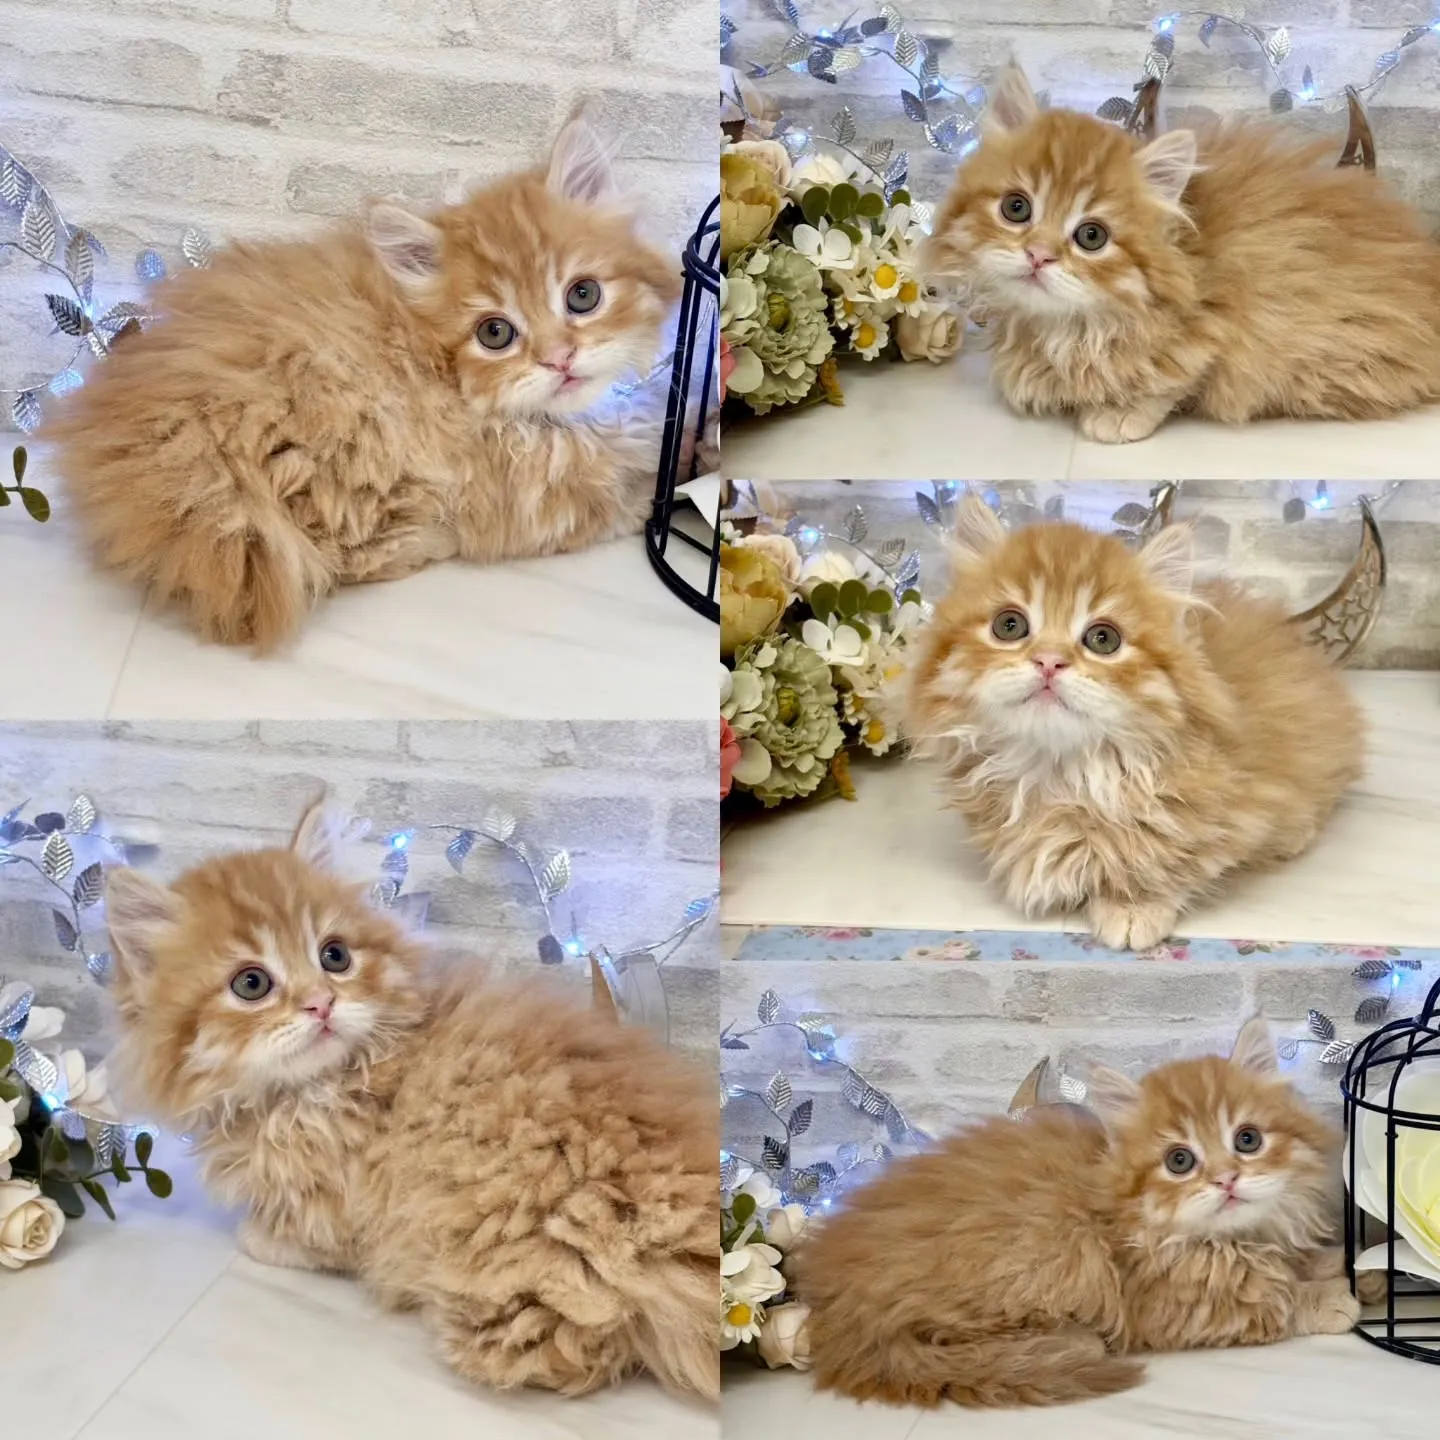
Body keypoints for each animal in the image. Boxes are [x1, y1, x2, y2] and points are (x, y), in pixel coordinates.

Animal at [42, 115, 681, 648]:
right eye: (495, 333)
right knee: (344, 557)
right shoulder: (523, 499)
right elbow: (618, 500)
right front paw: (662, 497)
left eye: (583, 295)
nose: (559, 358)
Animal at [100, 799, 717, 1401]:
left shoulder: (337, 1204)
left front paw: (257, 1235)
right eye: (250, 984)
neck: (319, 1086)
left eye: (334, 957)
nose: (321, 1004)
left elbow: (298, 1238)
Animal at [795, 1017, 1359, 1408]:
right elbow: (1275, 1300)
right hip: (1039, 1252)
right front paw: (1331, 1297)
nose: (1226, 1179)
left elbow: (1295, 1261)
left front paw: (1341, 1266)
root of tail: (834, 1313)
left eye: (1248, 1139)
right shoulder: (1172, 1307)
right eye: (1179, 1161)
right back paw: (1072, 1341)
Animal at [903, 496, 1364, 950]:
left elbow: (1178, 857)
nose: (1049, 661)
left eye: (1103, 639)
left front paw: (1134, 904)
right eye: (1009, 625)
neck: (1063, 775)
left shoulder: (1243, 802)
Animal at [922, 62, 1440, 442]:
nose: (1038, 256)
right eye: (1016, 208)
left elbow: (1179, 374)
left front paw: (1122, 410)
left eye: (1091, 236)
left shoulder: (1228, 318)